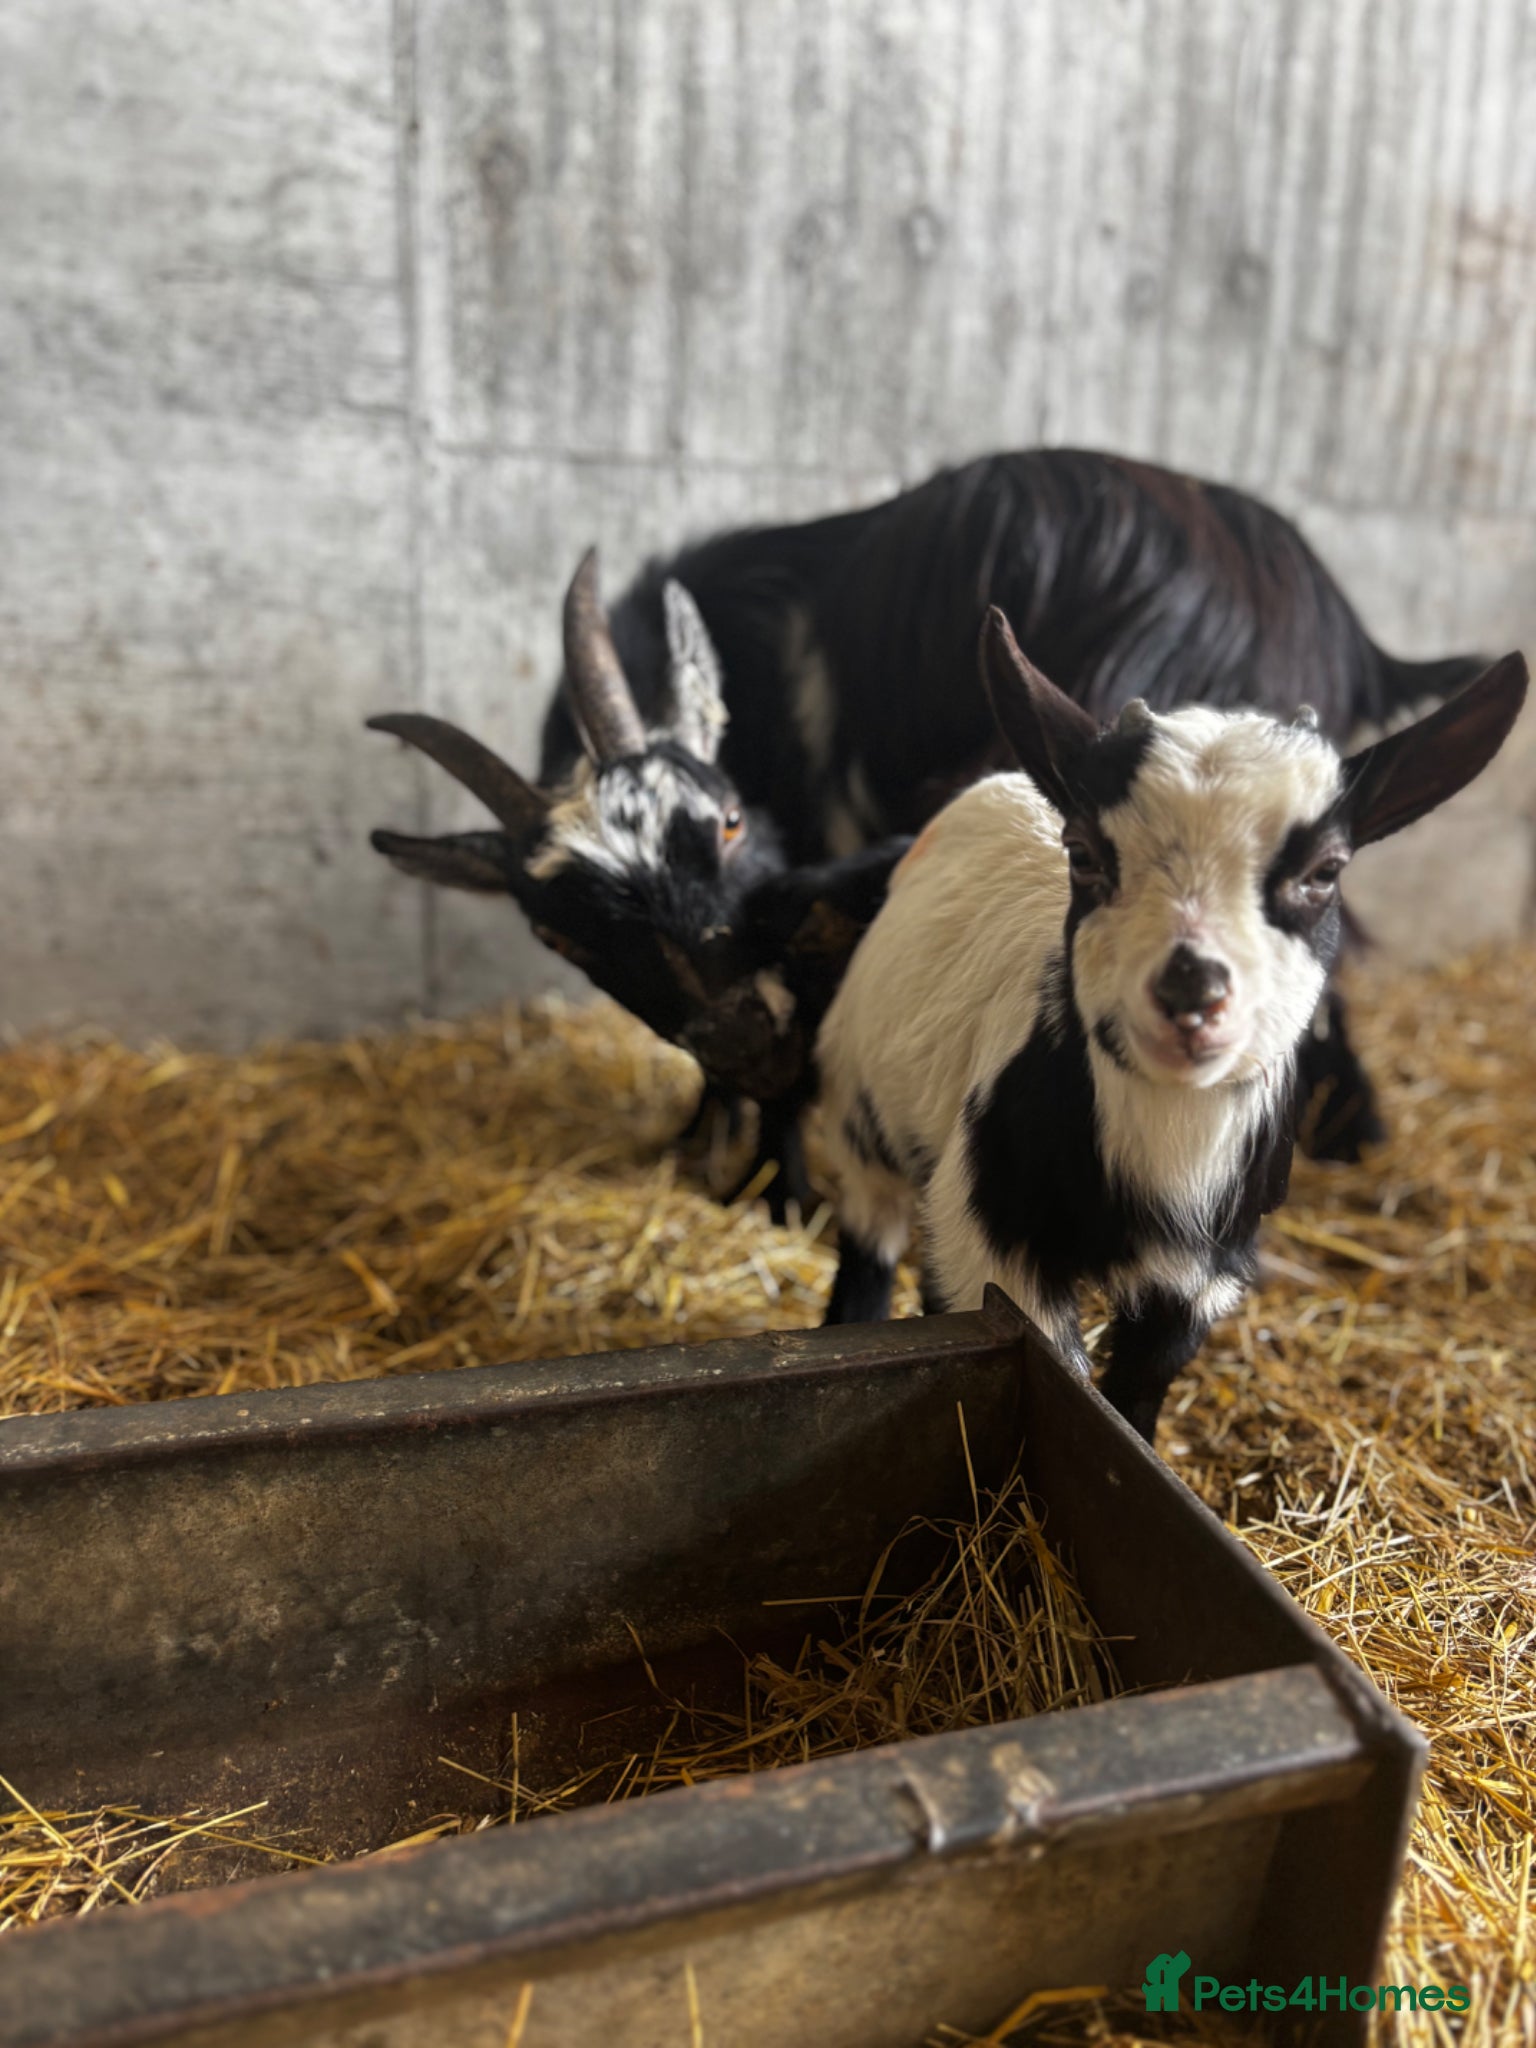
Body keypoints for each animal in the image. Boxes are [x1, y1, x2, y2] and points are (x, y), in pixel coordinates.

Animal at [371, 450, 1492, 1209]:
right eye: (558, 931)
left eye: (726, 822)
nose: (742, 1035)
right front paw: (706, 1146)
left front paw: (775, 1184)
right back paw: (1352, 1132)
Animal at [816, 610, 1526, 1441]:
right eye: (1083, 852)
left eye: (1325, 871)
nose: (1191, 991)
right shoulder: (988, 1238)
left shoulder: (1200, 1278)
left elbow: (1136, 1397)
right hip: (864, 1117)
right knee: (869, 1246)